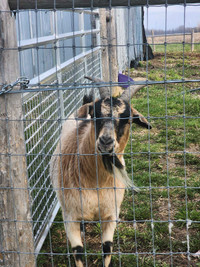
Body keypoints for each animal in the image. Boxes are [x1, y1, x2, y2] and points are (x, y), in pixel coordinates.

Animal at [49, 76, 150, 266]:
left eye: (127, 119)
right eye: (95, 114)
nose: (105, 142)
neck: (95, 182)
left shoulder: (111, 215)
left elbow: (107, 248)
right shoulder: (69, 216)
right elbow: (78, 251)